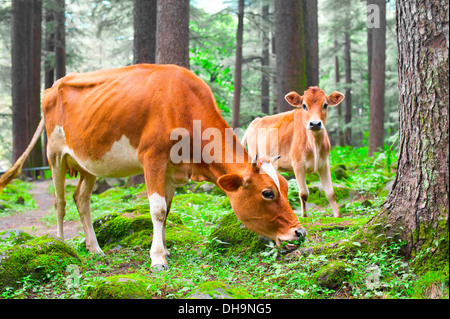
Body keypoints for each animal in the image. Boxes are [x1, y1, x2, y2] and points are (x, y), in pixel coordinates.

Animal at [0, 64, 306, 270]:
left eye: (285, 186)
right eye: (267, 193)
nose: (300, 232)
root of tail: (54, 85)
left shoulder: (171, 171)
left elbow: (167, 211)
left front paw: (165, 250)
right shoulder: (153, 159)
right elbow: (157, 210)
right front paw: (158, 258)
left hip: (89, 161)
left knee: (82, 198)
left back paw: (95, 248)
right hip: (54, 154)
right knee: (60, 201)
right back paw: (62, 243)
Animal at [243, 86, 344, 219]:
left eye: (325, 104)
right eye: (304, 105)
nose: (315, 124)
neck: (314, 144)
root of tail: (256, 120)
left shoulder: (324, 163)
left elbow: (330, 192)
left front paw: (338, 216)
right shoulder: (298, 164)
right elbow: (304, 193)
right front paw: (304, 216)